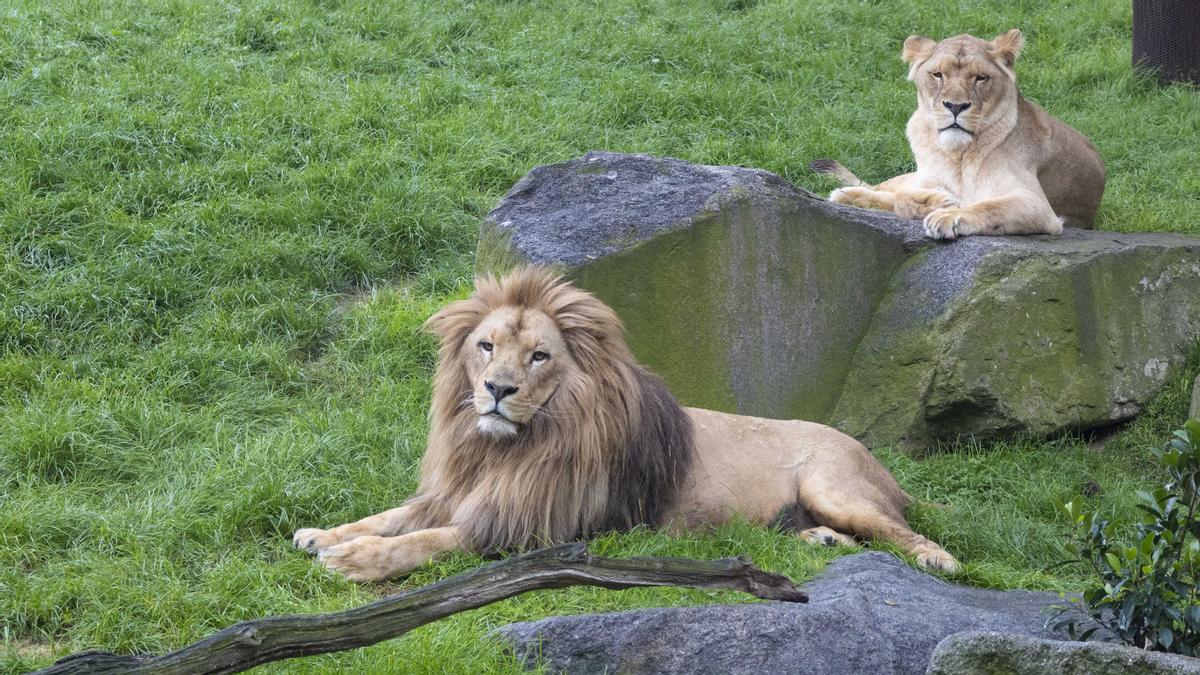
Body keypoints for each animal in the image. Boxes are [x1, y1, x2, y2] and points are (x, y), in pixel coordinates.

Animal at [295, 266, 960, 578]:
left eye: (539, 356)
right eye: (486, 346)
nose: (496, 391)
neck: (502, 449)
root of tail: (880, 463)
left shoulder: (538, 526)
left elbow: (429, 541)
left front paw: (356, 561)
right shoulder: (459, 493)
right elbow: (393, 517)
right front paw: (324, 535)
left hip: (834, 485)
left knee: (903, 532)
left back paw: (939, 562)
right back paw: (818, 541)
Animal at [816, 29, 1104, 239]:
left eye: (981, 78)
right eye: (937, 74)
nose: (955, 106)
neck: (956, 154)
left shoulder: (1039, 207)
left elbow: (989, 205)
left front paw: (947, 215)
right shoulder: (925, 178)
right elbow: (905, 198)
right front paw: (940, 201)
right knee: (883, 187)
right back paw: (847, 194)